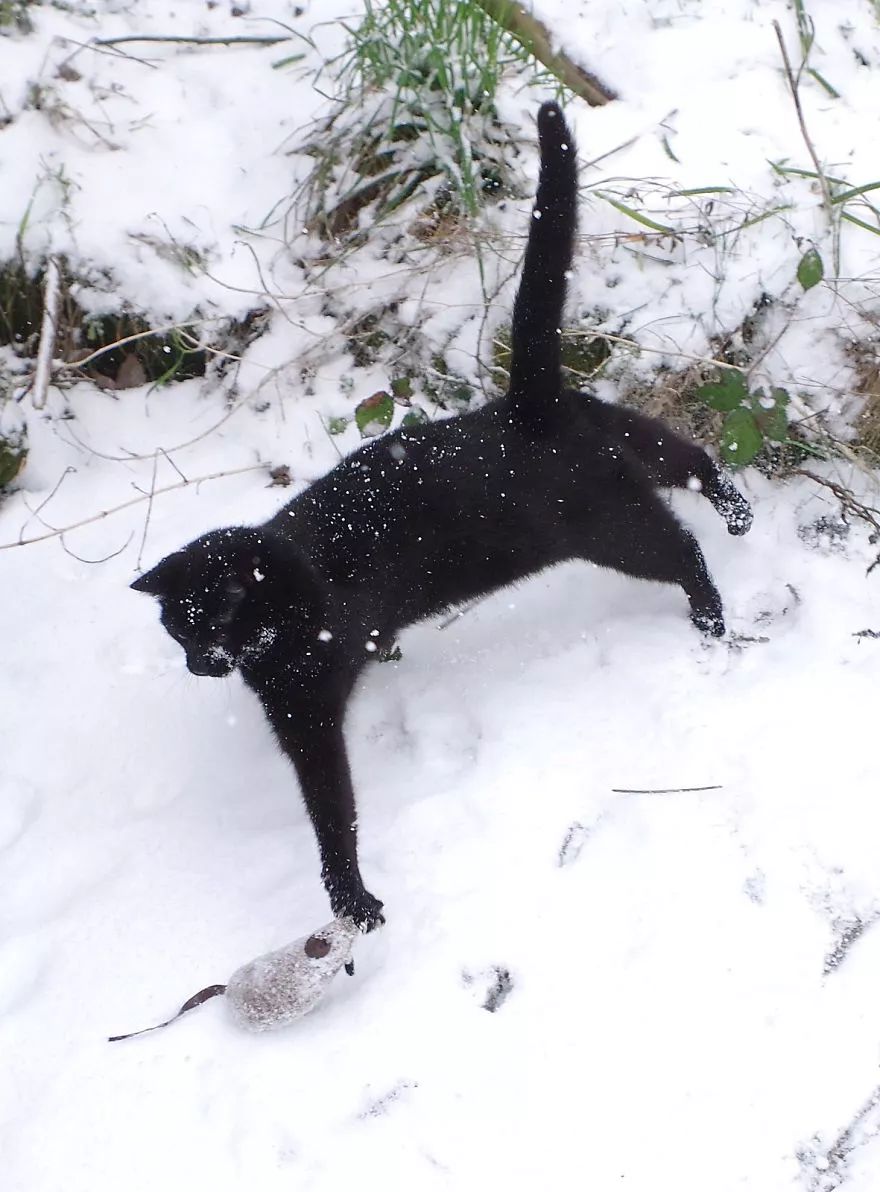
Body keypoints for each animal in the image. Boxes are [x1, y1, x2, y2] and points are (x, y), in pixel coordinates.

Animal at [133, 104, 748, 929]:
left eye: (215, 618)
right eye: (178, 628)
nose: (199, 664)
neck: (292, 593)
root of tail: (525, 403)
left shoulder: (309, 716)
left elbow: (332, 811)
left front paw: (351, 897)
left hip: (608, 525)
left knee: (681, 548)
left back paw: (712, 617)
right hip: (621, 441)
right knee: (689, 456)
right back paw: (737, 511)